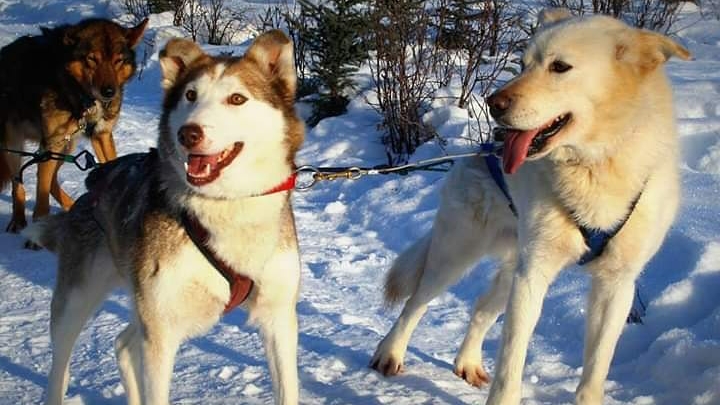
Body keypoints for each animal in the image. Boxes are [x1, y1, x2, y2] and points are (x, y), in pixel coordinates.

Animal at [0, 17, 148, 232]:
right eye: (92, 59)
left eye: (118, 60)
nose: (109, 92)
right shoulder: (53, 141)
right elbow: (41, 191)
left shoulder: (101, 135)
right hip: (16, 145)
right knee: (18, 183)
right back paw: (18, 219)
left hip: (66, 147)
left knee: (50, 178)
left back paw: (70, 205)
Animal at [372, 9, 692, 404]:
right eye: (523, 64)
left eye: (560, 66)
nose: (493, 103)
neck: (595, 166)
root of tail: (477, 152)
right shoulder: (533, 273)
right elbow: (512, 358)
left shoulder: (616, 285)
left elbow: (596, 367)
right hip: (458, 255)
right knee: (416, 303)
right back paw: (390, 353)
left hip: (512, 262)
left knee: (481, 307)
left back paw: (467, 362)